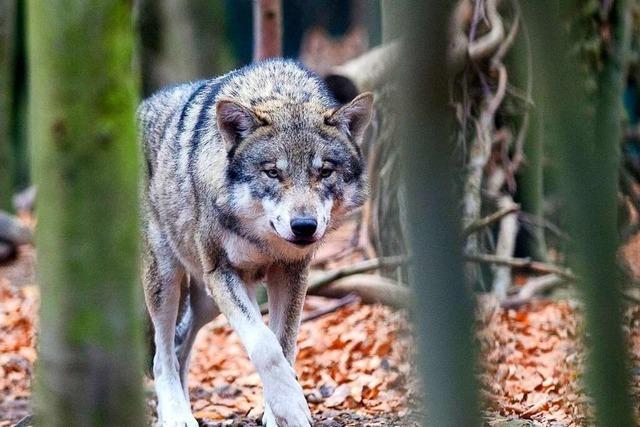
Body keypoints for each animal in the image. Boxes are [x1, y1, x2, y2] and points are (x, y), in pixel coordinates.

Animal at [138, 59, 372, 427]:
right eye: (272, 172)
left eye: (324, 172)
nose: (304, 227)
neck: (264, 240)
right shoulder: (222, 273)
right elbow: (265, 346)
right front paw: (292, 407)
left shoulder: (291, 273)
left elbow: (284, 345)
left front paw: (277, 415)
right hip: (167, 280)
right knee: (162, 355)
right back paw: (176, 415)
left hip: (206, 301)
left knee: (180, 347)